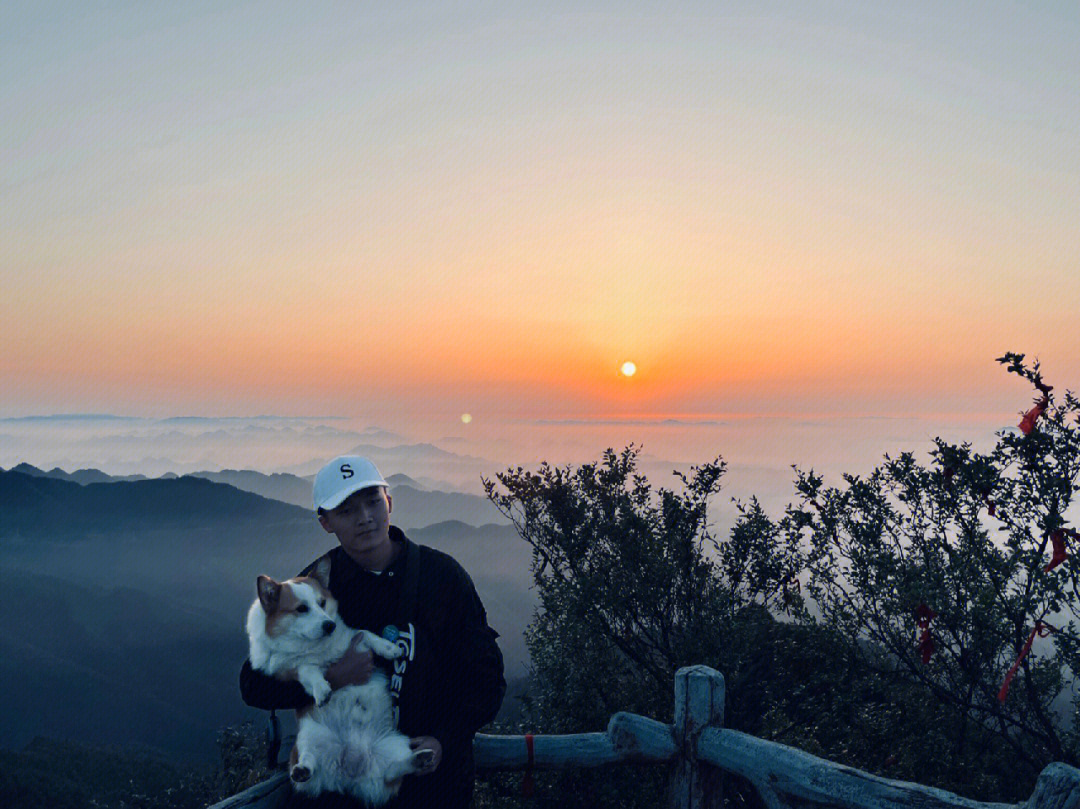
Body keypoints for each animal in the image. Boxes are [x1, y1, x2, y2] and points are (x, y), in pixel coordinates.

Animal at [247, 557, 432, 803]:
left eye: (322, 603)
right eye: (301, 609)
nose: (329, 625)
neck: (315, 646)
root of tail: (349, 772)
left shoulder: (353, 639)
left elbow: (365, 633)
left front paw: (389, 648)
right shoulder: (292, 669)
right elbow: (309, 670)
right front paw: (322, 689)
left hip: (395, 744)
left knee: (393, 771)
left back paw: (419, 758)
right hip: (307, 737)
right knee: (309, 760)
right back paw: (302, 770)